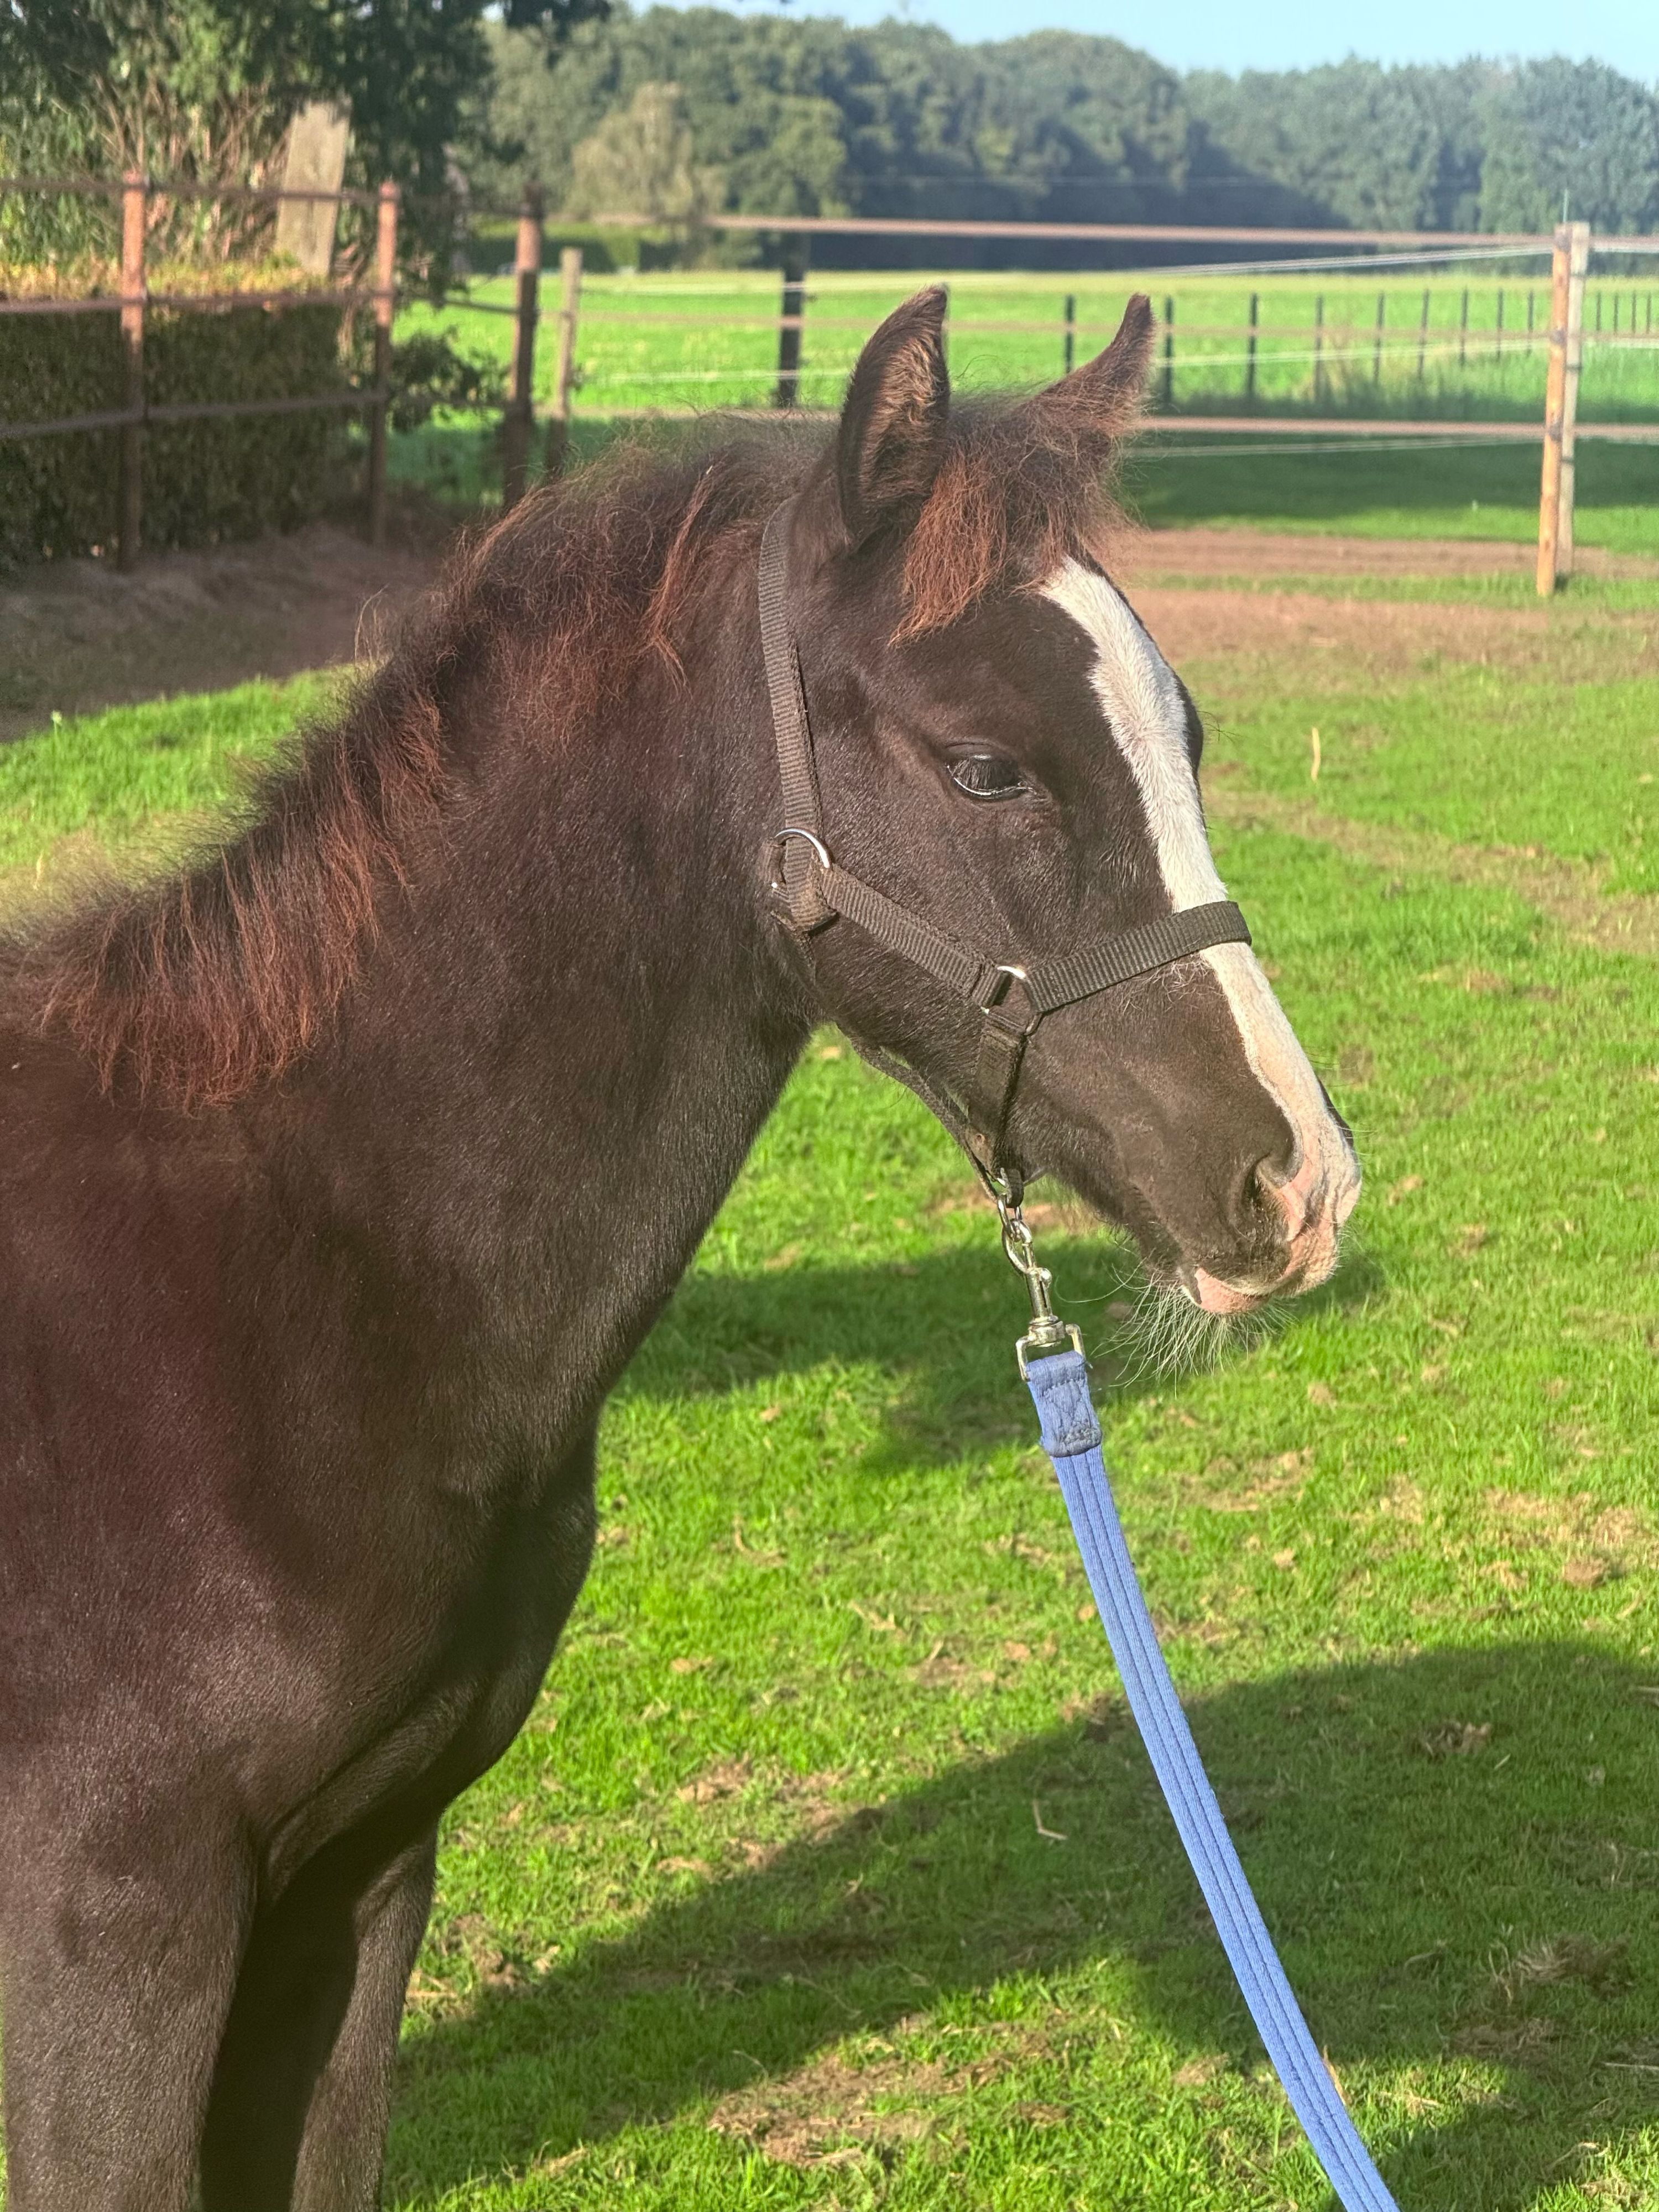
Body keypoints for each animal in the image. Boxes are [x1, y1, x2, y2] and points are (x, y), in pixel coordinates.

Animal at [0, 289, 1359, 2208]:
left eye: (1189, 734)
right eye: (986, 765)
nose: (1295, 1184)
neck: (270, 1293)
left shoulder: (359, 1880)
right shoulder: (114, 1933)